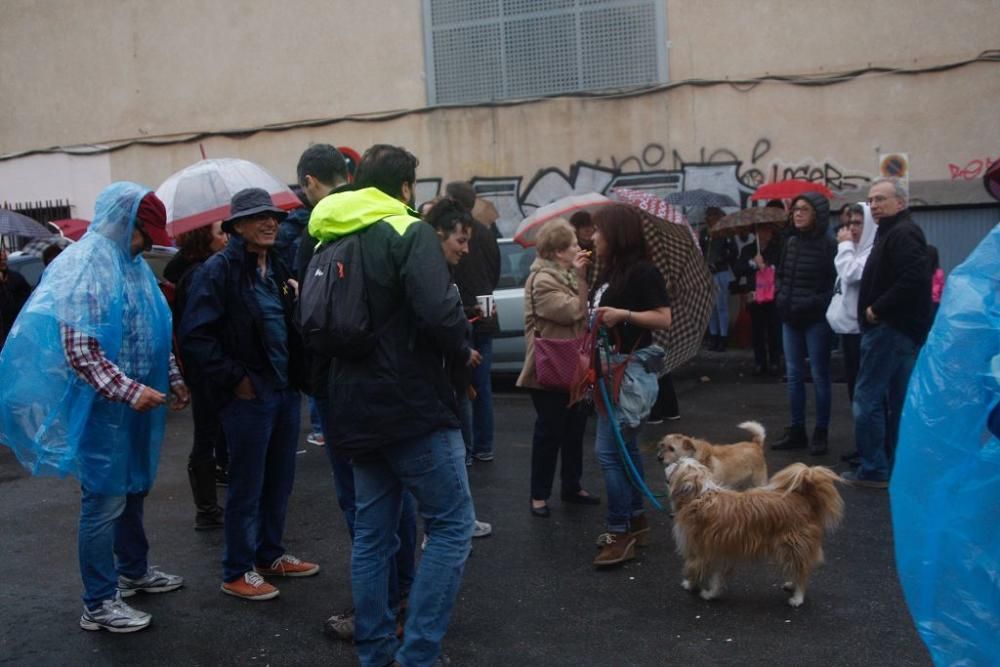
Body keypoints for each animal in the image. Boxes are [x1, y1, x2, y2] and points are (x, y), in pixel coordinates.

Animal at [664, 462, 844, 608]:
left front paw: (691, 585)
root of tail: (805, 498)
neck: (699, 495)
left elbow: (694, 568)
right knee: (797, 568)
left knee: (801, 572)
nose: (666, 464)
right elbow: (717, 577)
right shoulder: (720, 551)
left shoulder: (700, 549)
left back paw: (797, 597)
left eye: (678, 463)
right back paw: (791, 585)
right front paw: (713, 593)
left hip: (792, 545)